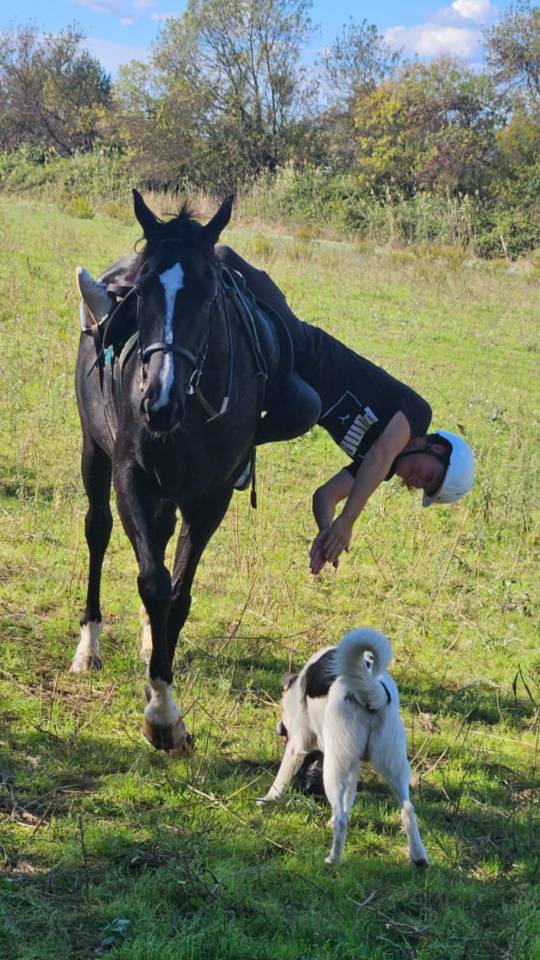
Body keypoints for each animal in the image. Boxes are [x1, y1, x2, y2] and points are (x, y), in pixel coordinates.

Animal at [71, 190, 279, 753]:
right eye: (143, 292)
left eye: (208, 294)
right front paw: (162, 715)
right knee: (98, 533)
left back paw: (150, 638)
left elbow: (179, 594)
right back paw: (89, 645)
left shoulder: (210, 499)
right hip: (94, 454)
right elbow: (153, 582)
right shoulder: (132, 481)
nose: (158, 402)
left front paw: (161, 686)